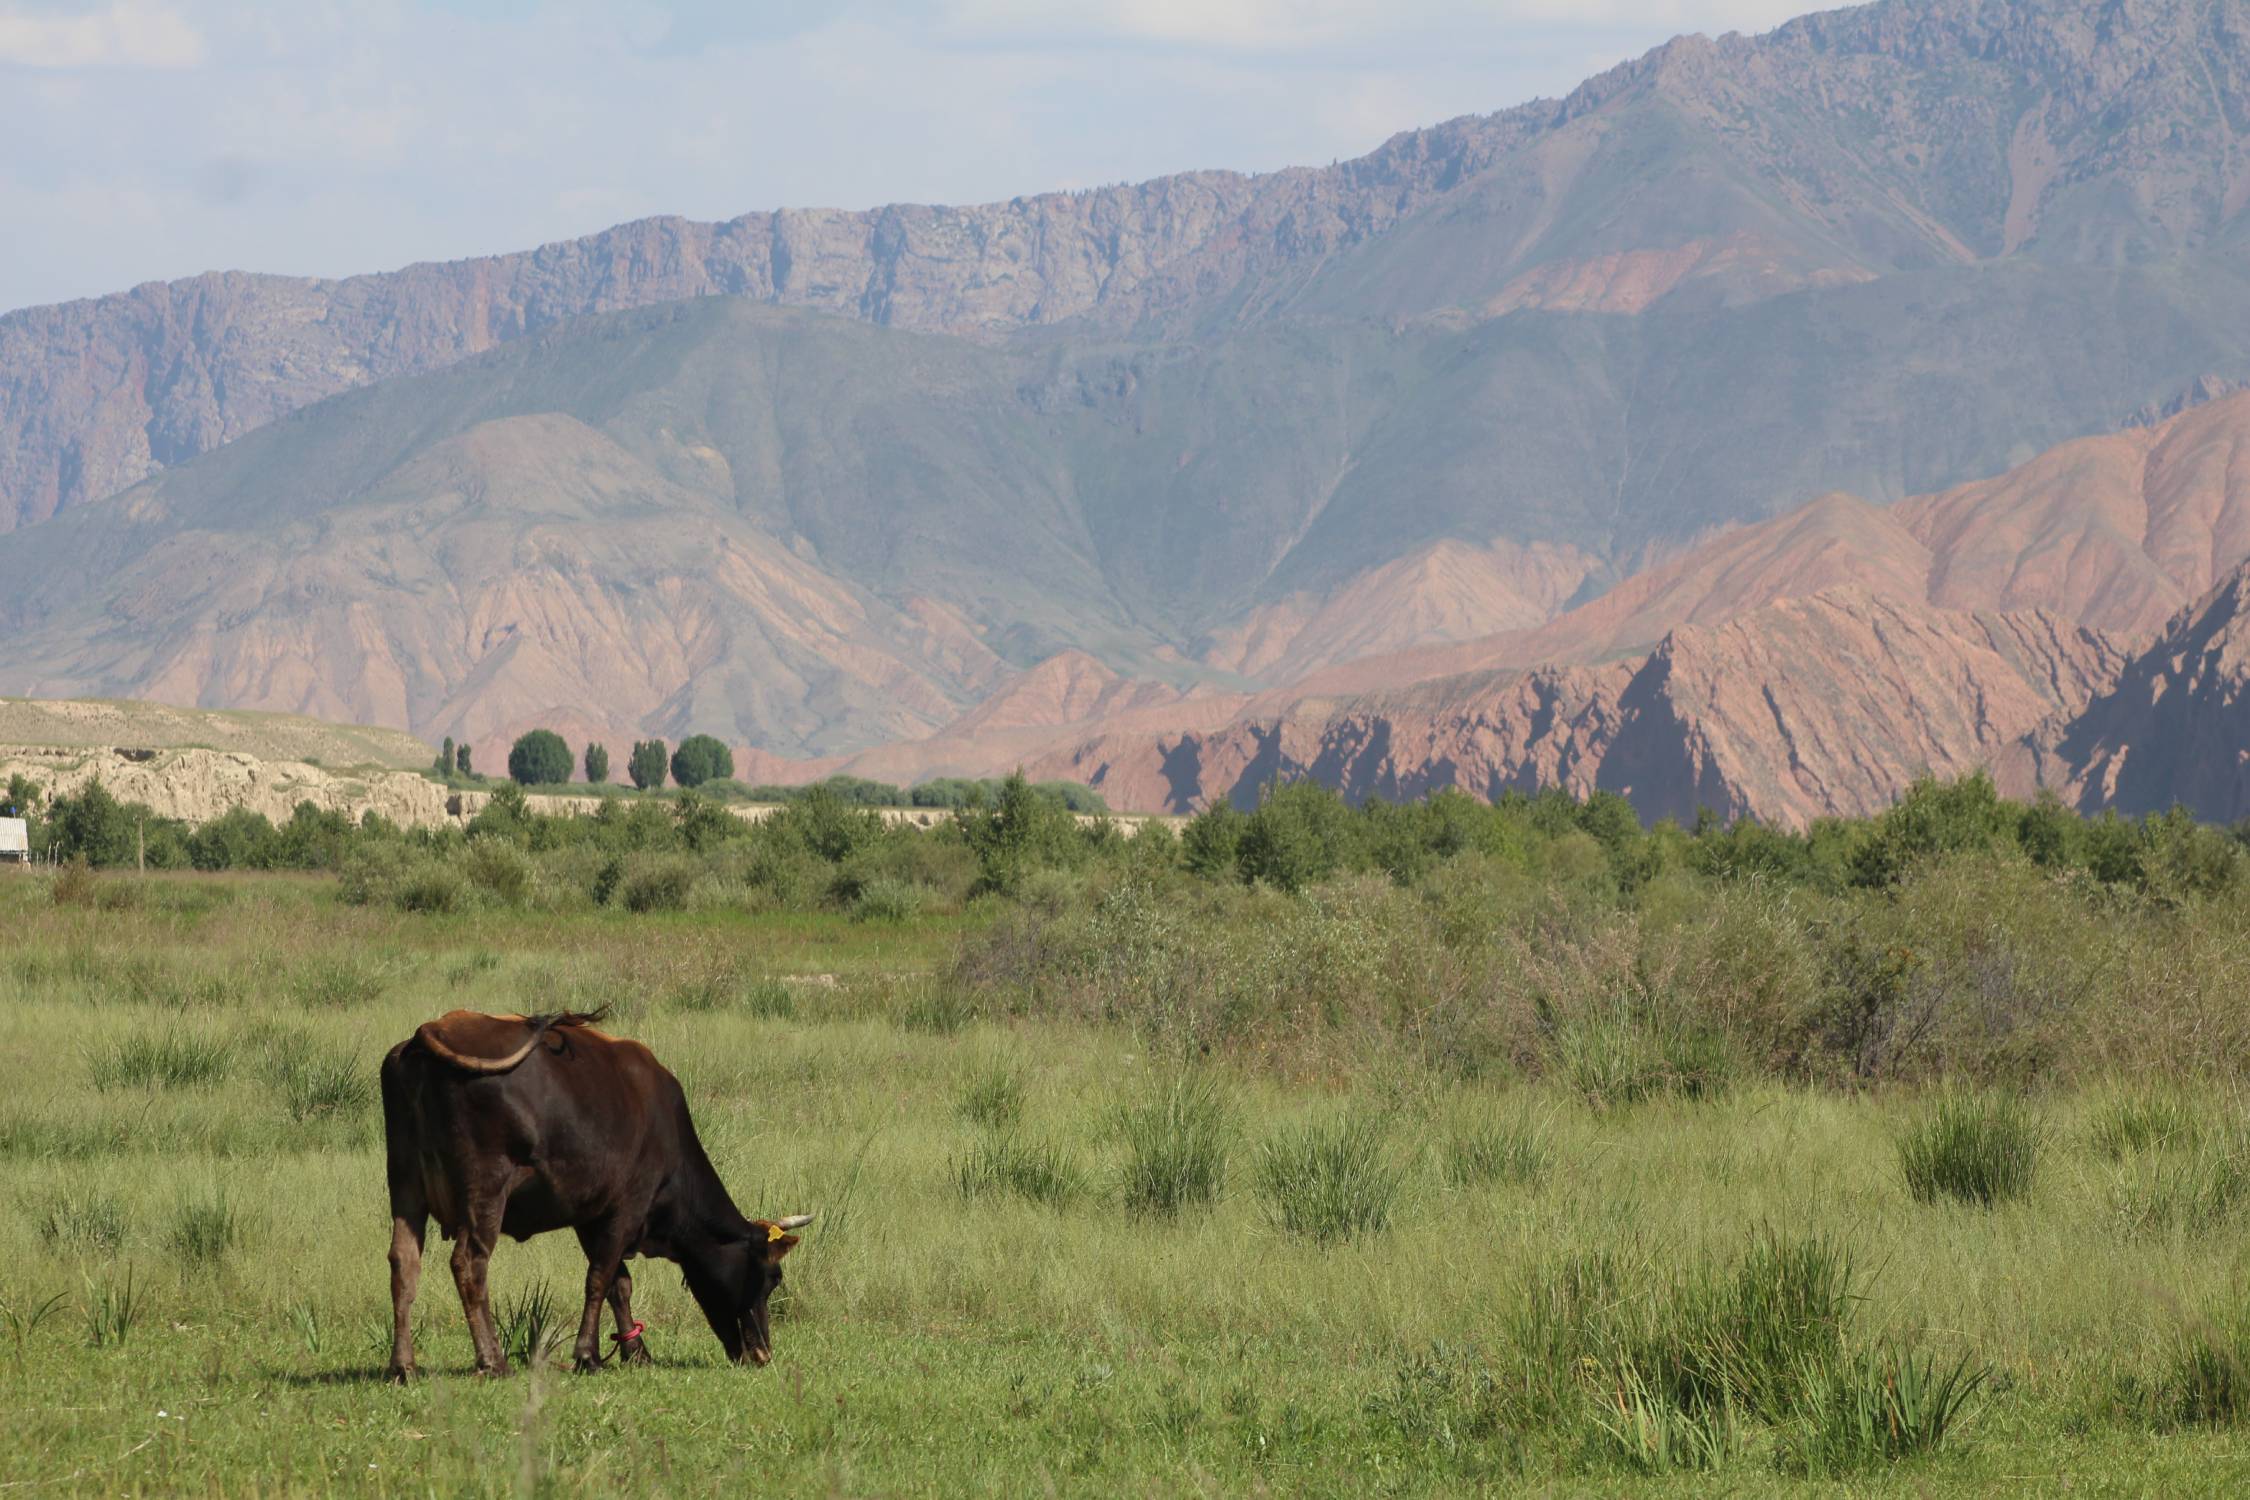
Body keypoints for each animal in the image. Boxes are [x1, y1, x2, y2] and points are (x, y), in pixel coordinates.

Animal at [379, 1008, 812, 1379]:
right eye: (772, 1277)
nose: (762, 1354)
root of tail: (432, 1029)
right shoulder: (625, 1209)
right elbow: (600, 1279)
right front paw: (588, 1355)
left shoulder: (591, 1217)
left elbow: (619, 1284)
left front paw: (635, 1351)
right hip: (486, 1190)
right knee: (469, 1263)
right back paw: (493, 1361)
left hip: (405, 1183)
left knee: (404, 1262)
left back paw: (404, 1365)